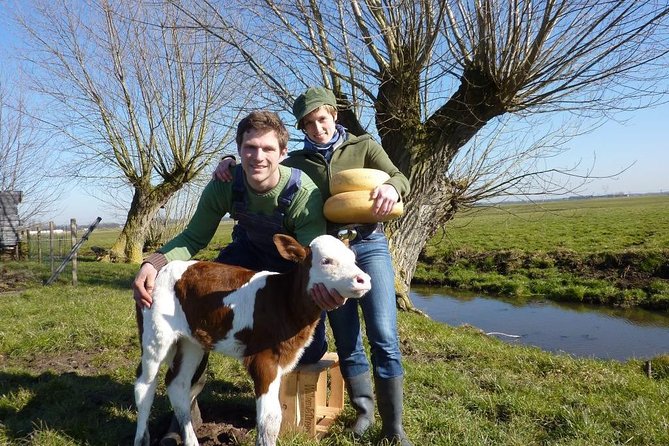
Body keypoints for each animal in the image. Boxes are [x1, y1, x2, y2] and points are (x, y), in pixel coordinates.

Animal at [130, 233, 370, 446]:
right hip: (155, 335)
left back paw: (191, 441)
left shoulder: (281, 361)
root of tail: (161, 268)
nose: (364, 279)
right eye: (326, 261)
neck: (284, 301)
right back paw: (141, 439)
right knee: (144, 386)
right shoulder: (263, 361)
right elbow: (269, 419)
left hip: (191, 342)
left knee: (177, 385)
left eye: (353, 259)